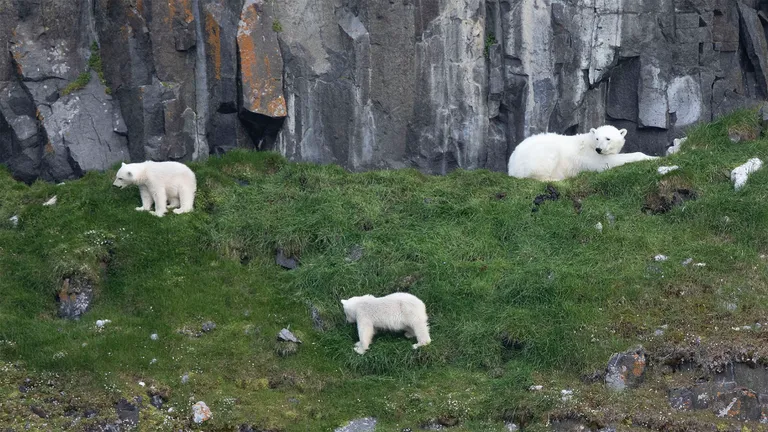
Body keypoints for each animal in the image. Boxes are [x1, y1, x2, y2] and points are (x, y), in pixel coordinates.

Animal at [507, 125, 658, 181]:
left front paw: (654, 156)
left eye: (608, 138)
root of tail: (511, 165)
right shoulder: (590, 156)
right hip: (537, 155)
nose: (599, 149)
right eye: (597, 138)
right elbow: (607, 163)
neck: (590, 142)